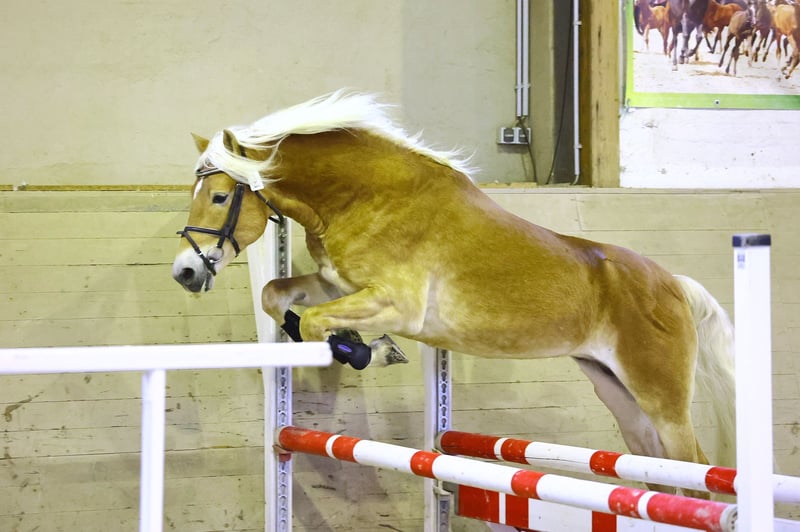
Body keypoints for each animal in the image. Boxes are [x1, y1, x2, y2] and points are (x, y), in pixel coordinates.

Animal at [171, 91, 736, 498]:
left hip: (661, 397)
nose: (185, 273)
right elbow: (276, 296)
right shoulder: (338, 284)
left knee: (694, 471)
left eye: (218, 196)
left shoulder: (394, 303)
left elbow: (315, 325)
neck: (365, 196)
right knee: (659, 469)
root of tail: (674, 285)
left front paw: (364, 349)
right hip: (617, 391)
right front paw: (356, 344)